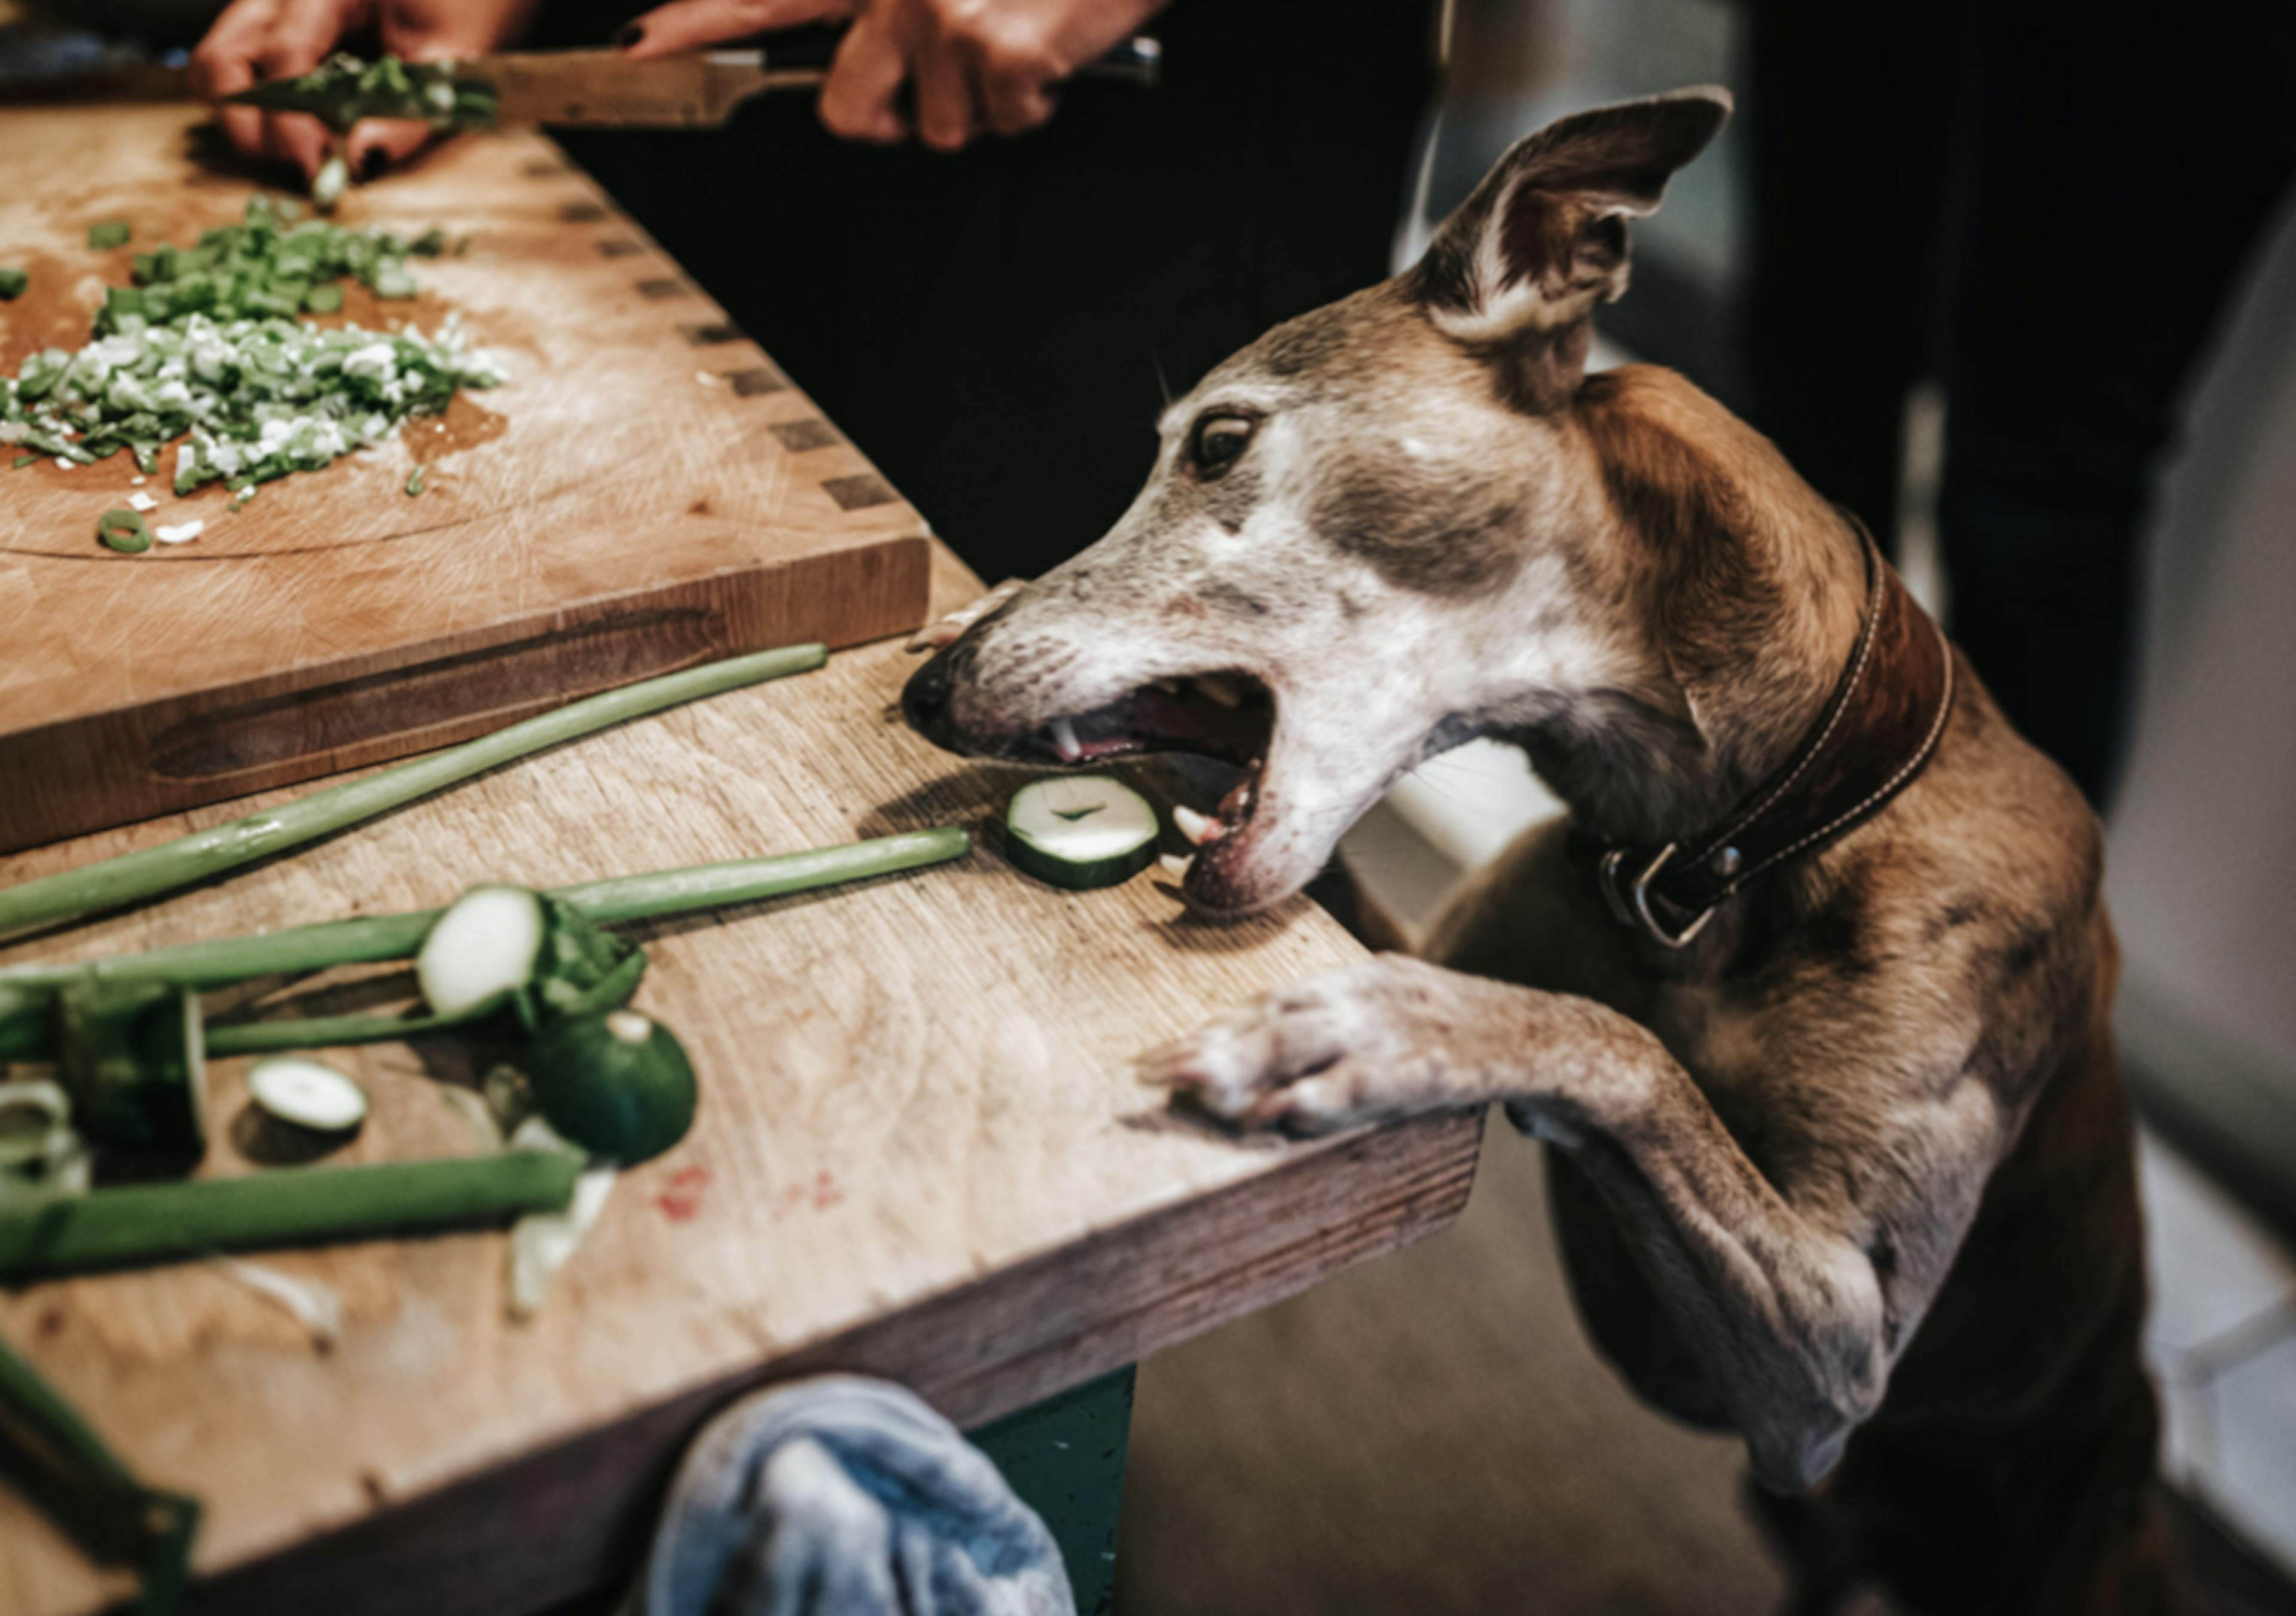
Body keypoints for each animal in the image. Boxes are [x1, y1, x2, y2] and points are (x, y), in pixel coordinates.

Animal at [900, 92, 2167, 1616]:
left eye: (1215, 440)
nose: (931, 692)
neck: (1725, 852)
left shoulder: (1837, 1350)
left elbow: (1616, 1046)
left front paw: (1380, 1036)